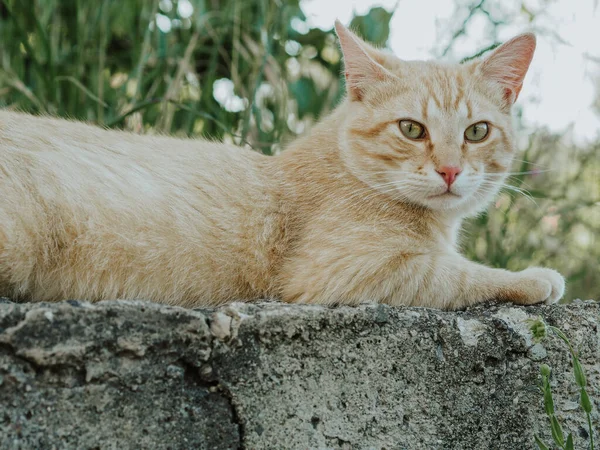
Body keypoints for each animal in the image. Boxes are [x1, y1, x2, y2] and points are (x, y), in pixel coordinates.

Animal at [0, 22, 564, 310]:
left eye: (476, 132)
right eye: (411, 129)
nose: (449, 171)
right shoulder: (344, 274)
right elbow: (457, 275)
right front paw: (535, 277)